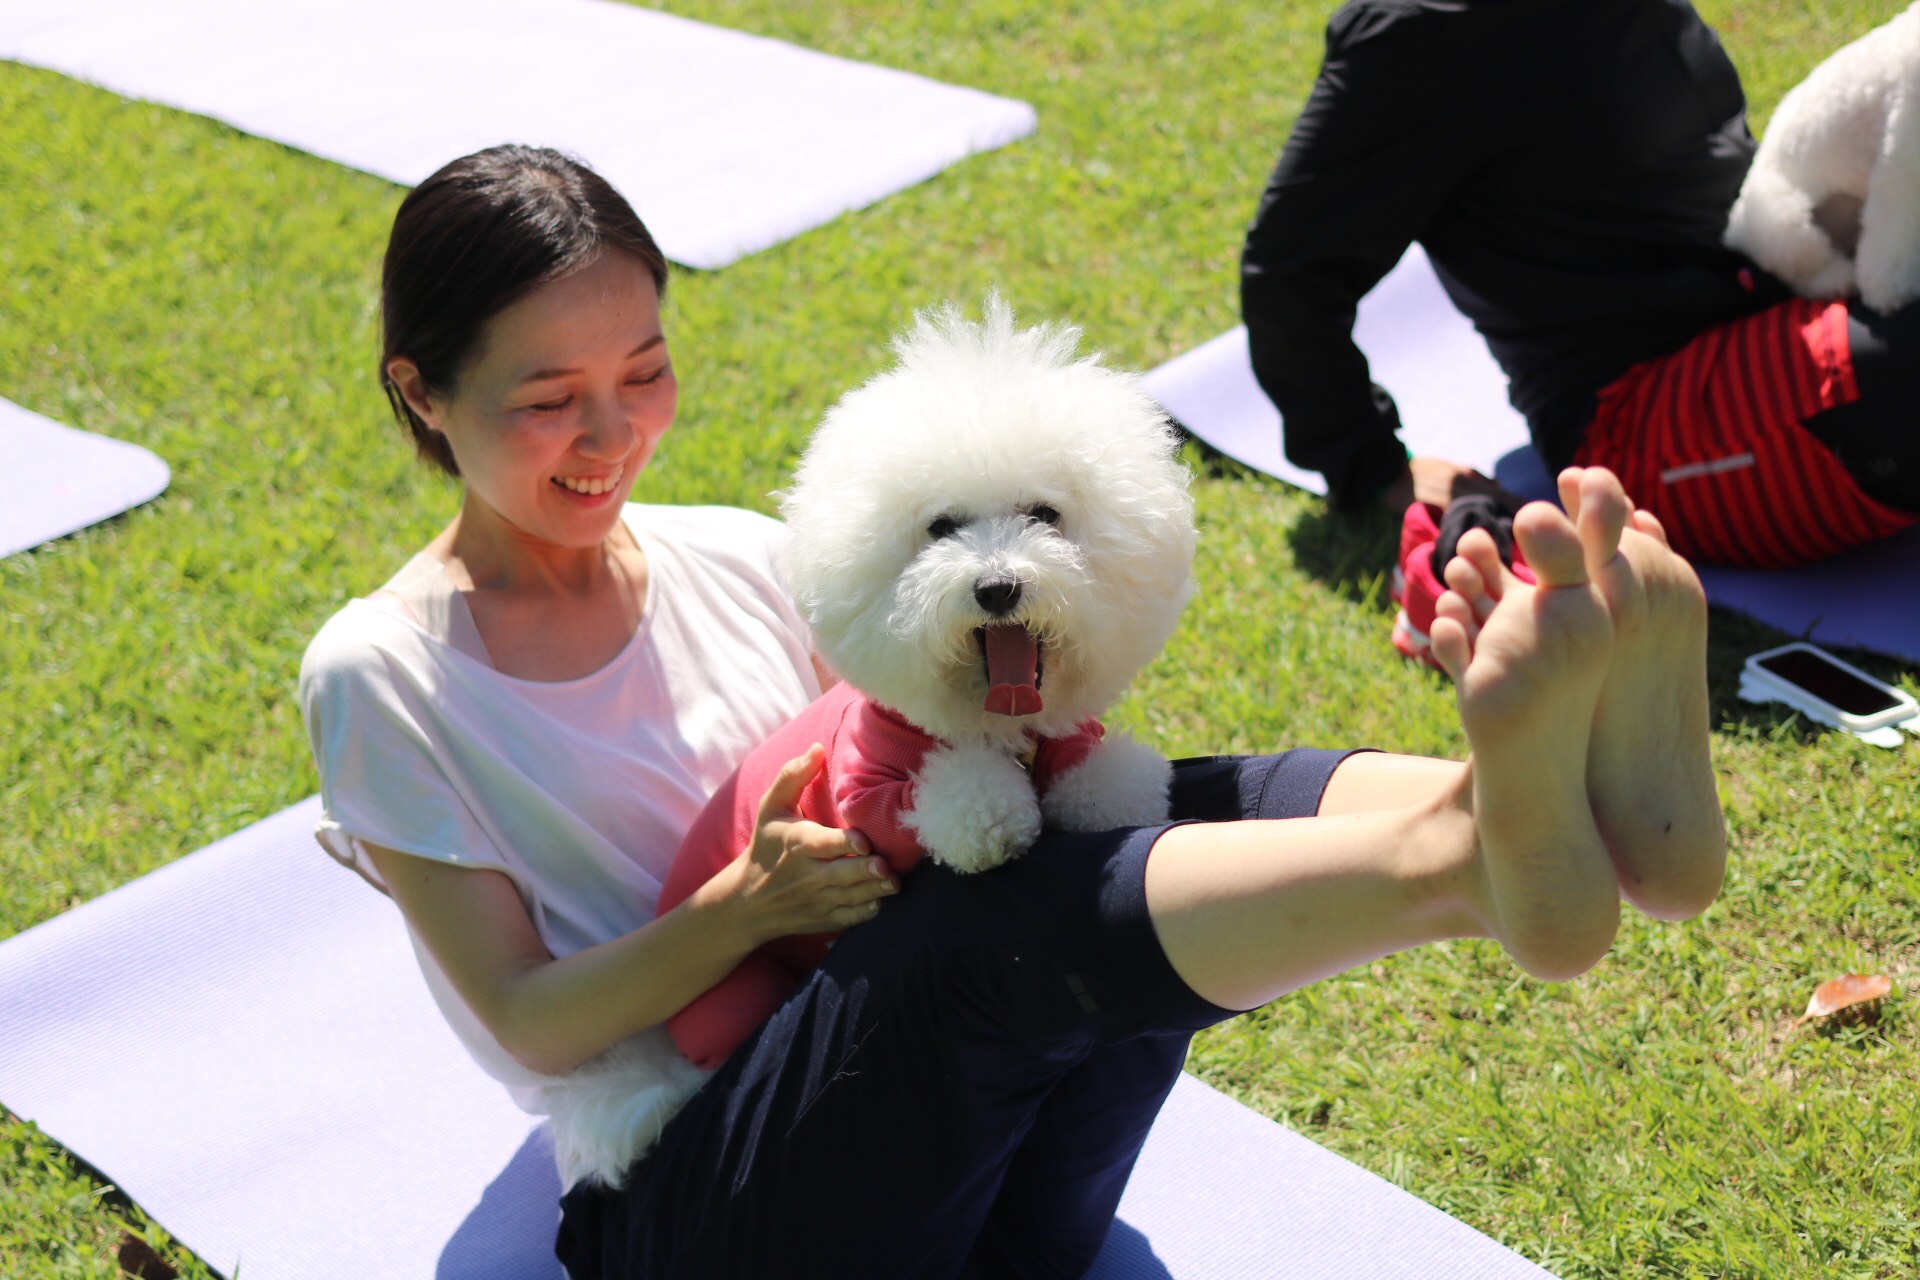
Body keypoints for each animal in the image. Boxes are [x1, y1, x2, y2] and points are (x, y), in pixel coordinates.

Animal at [1728, 4, 1920, 312]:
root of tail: (1734, 230)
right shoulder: (1903, 162)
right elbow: (1895, 238)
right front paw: (1890, 292)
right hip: (1783, 220)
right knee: (1803, 268)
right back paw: (1839, 279)